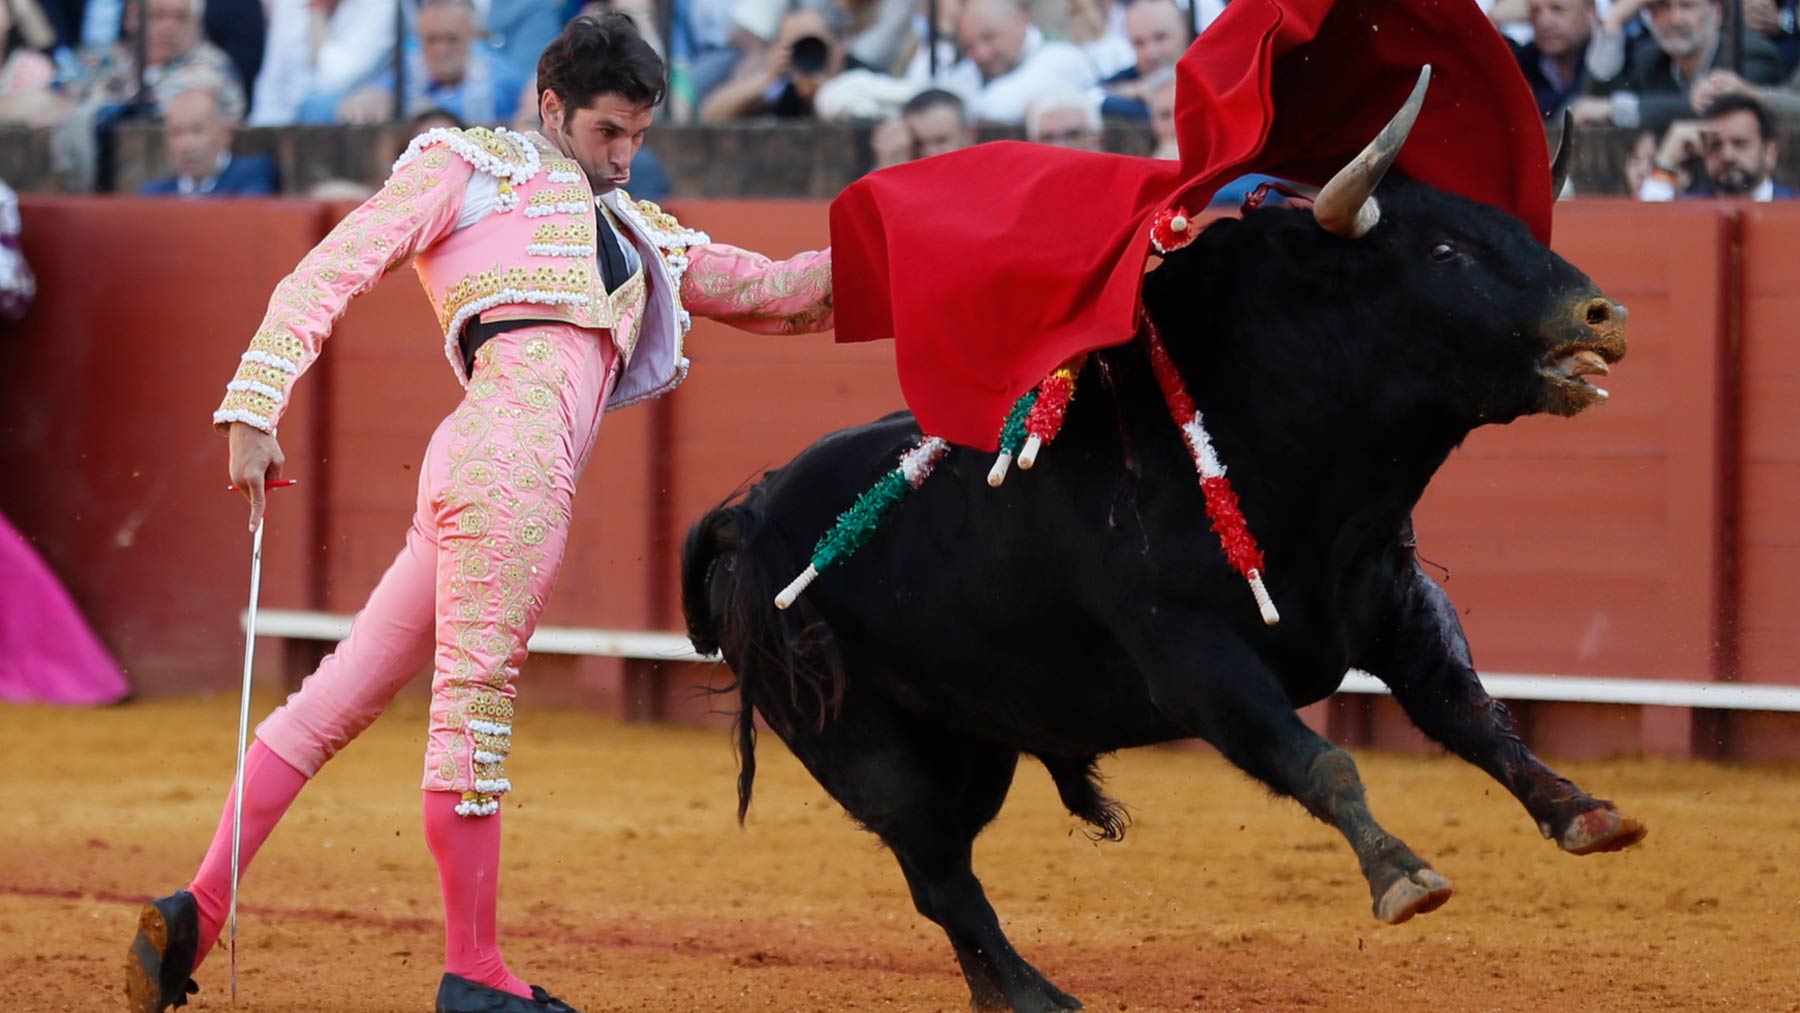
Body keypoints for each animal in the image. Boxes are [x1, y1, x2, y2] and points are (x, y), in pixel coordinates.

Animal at [676, 176, 1648, 1013]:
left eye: (1517, 226)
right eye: (1446, 249)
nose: (1603, 315)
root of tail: (750, 513)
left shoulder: (1395, 605)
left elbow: (1471, 714)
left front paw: (1586, 812)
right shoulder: (1194, 660)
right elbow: (1320, 759)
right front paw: (1402, 874)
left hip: (972, 742)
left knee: (937, 871)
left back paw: (999, 992)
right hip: (862, 744)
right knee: (941, 871)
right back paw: (1039, 994)